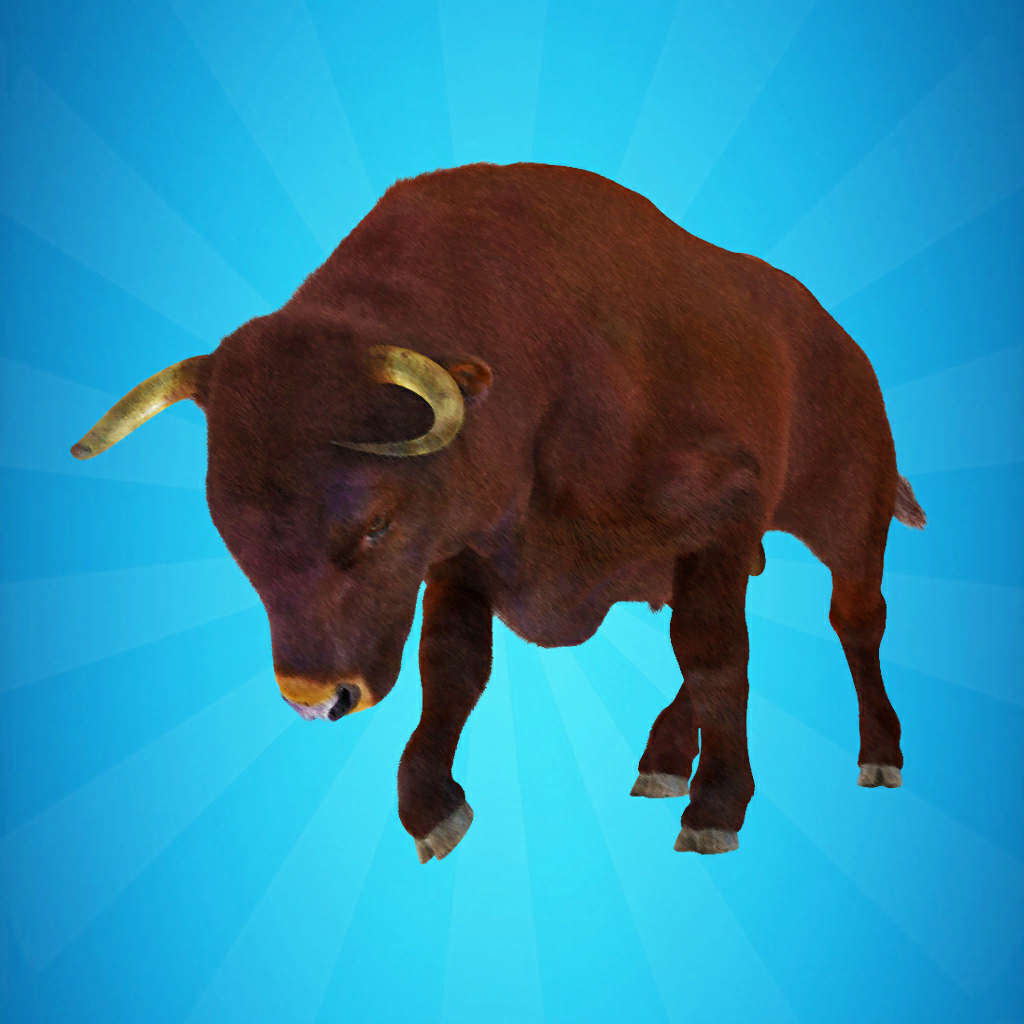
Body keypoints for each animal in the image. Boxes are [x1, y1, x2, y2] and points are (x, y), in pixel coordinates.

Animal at [71, 162, 925, 861]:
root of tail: (840, 341)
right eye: (227, 526)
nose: (318, 698)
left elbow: (715, 657)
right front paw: (433, 811)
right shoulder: (462, 556)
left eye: (376, 522)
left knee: (855, 618)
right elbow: (453, 667)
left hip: (850, 515)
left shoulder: (722, 520)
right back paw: (659, 762)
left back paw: (878, 756)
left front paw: (716, 810)